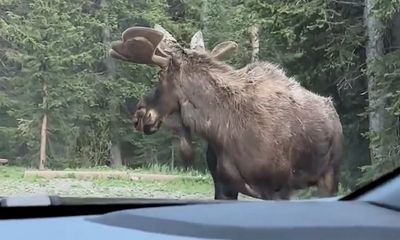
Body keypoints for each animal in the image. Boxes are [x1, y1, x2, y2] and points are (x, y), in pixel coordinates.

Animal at [111, 25, 346, 200]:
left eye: (160, 76)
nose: (139, 115)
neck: (219, 130)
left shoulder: (277, 188)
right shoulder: (223, 186)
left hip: (330, 177)